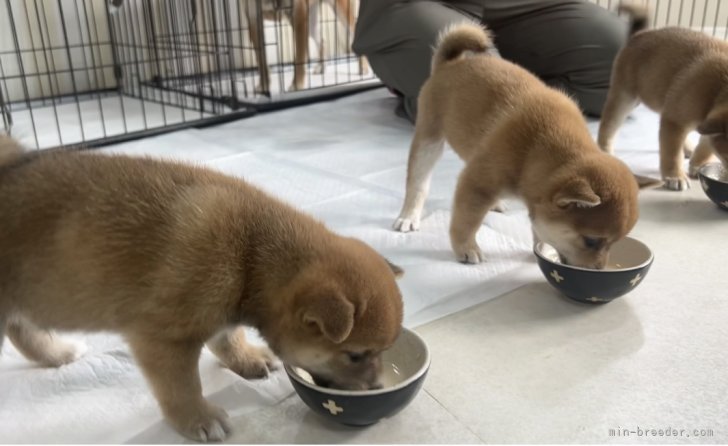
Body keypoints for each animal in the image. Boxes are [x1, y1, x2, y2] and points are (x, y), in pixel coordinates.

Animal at [0, 136, 403, 441]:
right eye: (355, 355)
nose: (376, 389)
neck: (251, 254)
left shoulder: (221, 311)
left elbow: (227, 339)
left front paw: (247, 359)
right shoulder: (165, 340)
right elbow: (183, 387)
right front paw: (197, 418)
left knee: (22, 331)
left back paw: (57, 353)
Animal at [393, 23, 660, 269]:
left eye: (615, 243)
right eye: (592, 241)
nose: (600, 270)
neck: (537, 150)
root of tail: (450, 64)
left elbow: (537, 226)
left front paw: (541, 249)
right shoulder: (476, 184)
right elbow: (466, 221)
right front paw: (466, 248)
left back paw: (496, 203)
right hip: (430, 138)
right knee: (418, 183)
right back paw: (408, 216)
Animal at [598, 4, 728, 190]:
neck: (720, 88)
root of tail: (639, 35)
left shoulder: (704, 122)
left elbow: (706, 147)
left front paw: (698, 164)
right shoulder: (676, 121)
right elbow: (672, 153)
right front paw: (675, 176)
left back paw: (688, 148)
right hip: (625, 98)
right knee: (608, 126)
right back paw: (605, 150)